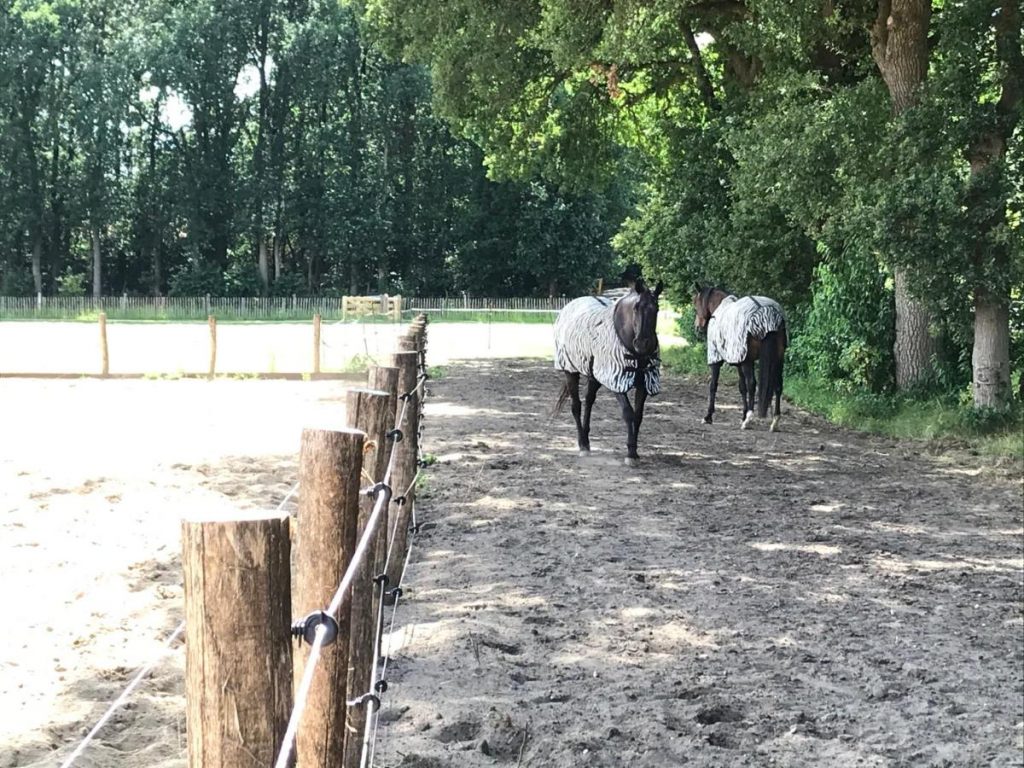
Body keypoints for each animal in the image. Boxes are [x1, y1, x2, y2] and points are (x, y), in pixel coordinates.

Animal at [552, 274, 663, 466]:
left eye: (656, 309)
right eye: (636, 308)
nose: (642, 344)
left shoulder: (645, 383)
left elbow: (638, 416)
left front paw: (634, 450)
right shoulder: (617, 382)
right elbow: (628, 414)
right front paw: (630, 453)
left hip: (594, 376)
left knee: (589, 401)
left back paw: (587, 441)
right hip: (570, 371)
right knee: (576, 406)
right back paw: (582, 444)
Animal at [692, 286, 786, 434]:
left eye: (696, 303)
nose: (697, 327)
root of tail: (767, 313)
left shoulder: (716, 360)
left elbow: (713, 385)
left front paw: (708, 416)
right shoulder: (739, 361)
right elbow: (742, 388)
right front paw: (743, 415)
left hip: (749, 362)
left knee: (752, 384)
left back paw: (749, 420)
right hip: (778, 360)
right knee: (778, 386)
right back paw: (775, 421)